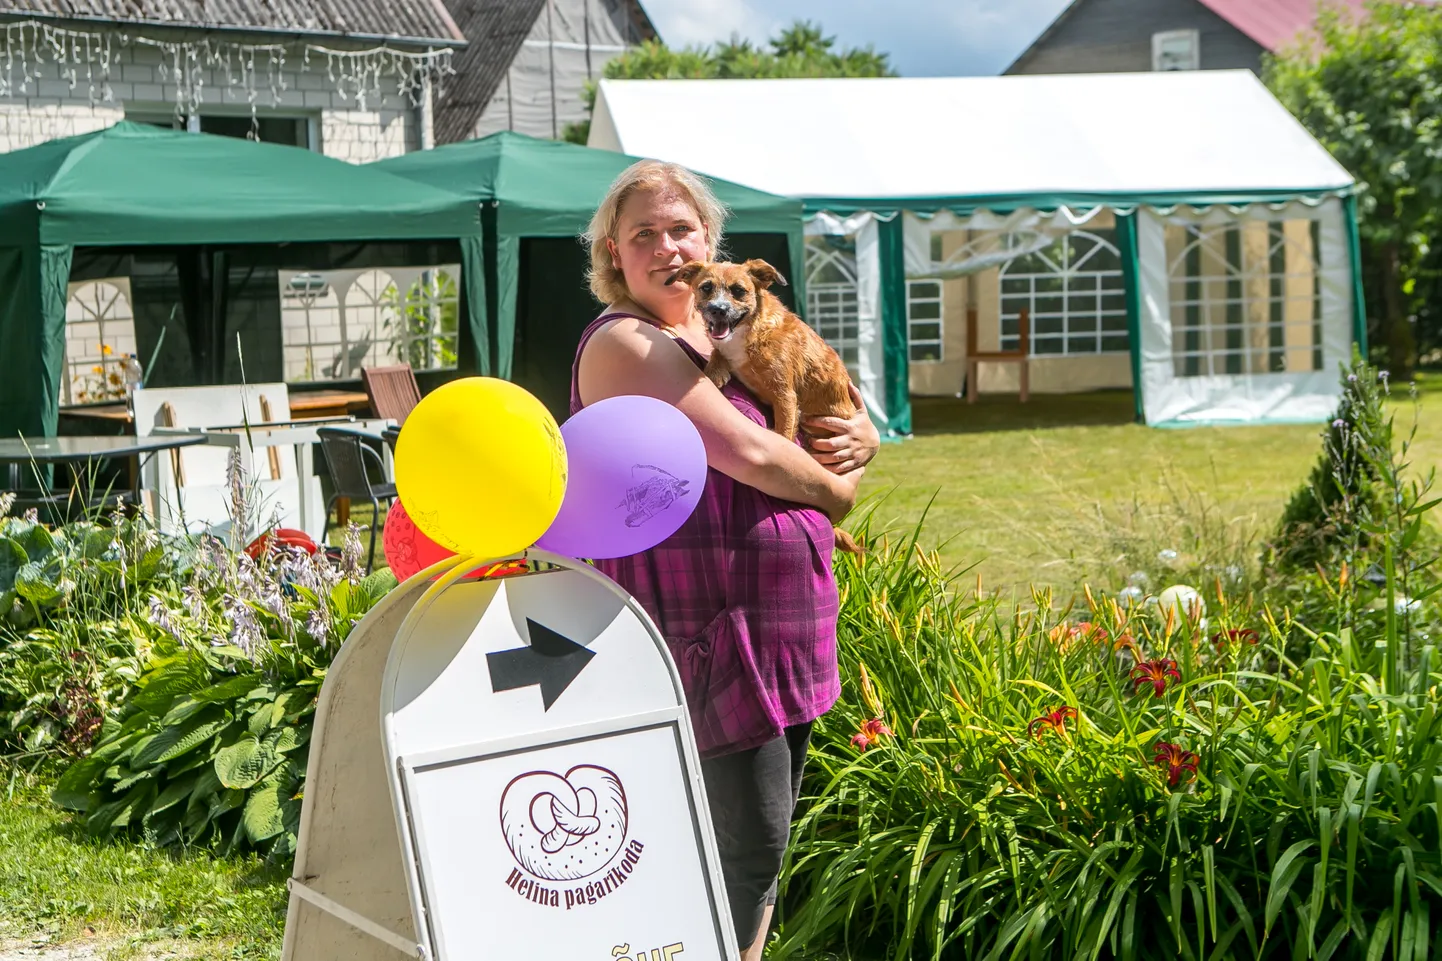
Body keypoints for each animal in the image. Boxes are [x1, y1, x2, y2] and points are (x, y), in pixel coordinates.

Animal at [669, 256, 859, 554]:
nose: (718, 309)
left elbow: (783, 435)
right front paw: (715, 369)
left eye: (739, 291)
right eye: (706, 288)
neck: (747, 333)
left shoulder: (785, 397)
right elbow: (717, 353)